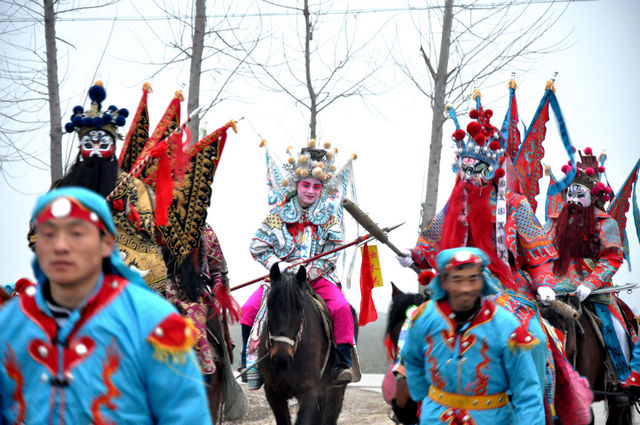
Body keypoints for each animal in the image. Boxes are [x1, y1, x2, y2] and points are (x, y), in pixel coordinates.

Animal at [256, 264, 356, 422]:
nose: (281, 358)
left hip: (335, 390)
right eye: (270, 306)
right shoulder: (273, 393)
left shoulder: (309, 392)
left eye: (300, 307)